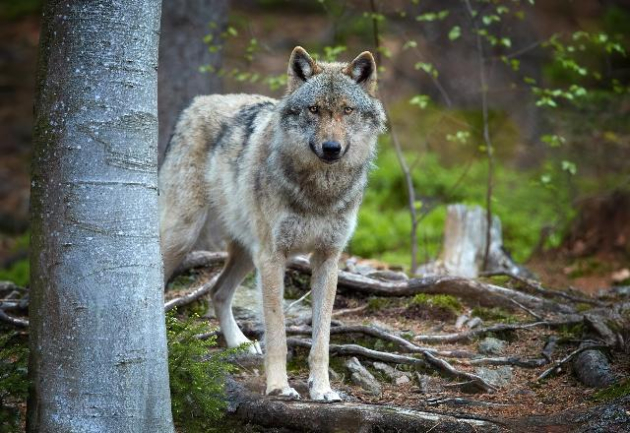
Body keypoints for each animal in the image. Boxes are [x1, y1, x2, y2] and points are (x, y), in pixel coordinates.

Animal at [159, 45, 386, 400]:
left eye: (347, 110)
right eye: (314, 109)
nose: (331, 148)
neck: (320, 192)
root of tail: (197, 102)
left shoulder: (328, 259)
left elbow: (322, 338)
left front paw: (322, 389)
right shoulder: (273, 257)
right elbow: (278, 331)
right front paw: (279, 387)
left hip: (246, 252)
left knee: (217, 292)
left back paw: (239, 343)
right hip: (184, 234)